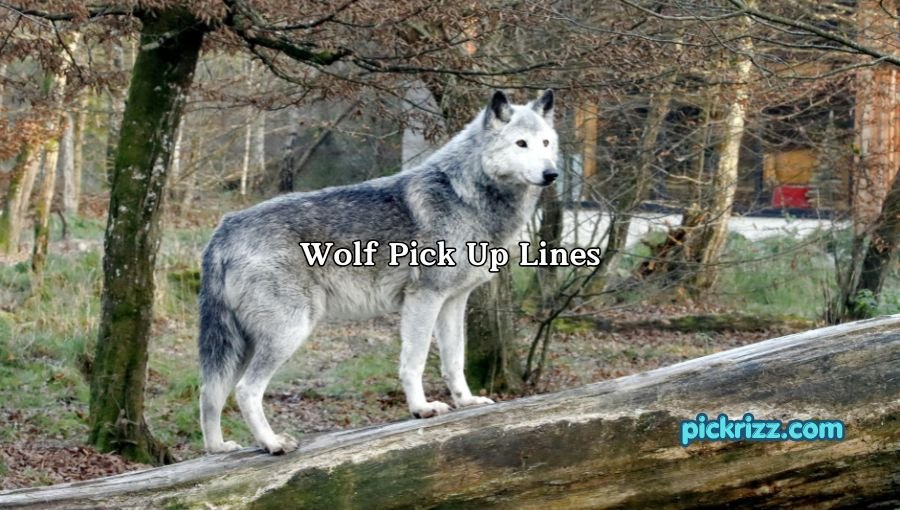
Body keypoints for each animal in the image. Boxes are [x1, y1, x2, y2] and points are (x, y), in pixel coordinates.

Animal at [199, 89, 559, 454]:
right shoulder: (423, 298)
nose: (552, 174)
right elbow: (414, 361)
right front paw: (421, 408)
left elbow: (454, 361)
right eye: (521, 144)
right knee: (245, 390)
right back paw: (272, 443)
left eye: (545, 142)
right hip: (287, 332)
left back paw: (218, 448)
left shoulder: (453, 302)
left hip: (241, 344)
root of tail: (224, 229)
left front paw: (466, 401)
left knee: (209, 391)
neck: (464, 194)